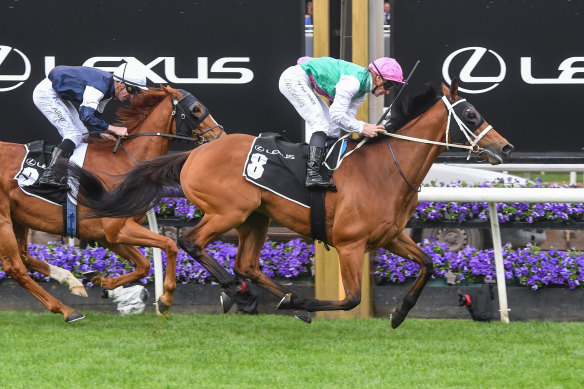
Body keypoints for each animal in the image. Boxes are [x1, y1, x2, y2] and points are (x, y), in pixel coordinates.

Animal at [0, 85, 224, 322]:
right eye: (196, 109)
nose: (221, 136)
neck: (123, 163)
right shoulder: (116, 229)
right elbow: (169, 245)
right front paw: (165, 300)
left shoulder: (108, 235)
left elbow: (144, 265)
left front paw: (102, 281)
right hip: (3, 219)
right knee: (14, 267)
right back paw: (67, 310)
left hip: (19, 218)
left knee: (24, 256)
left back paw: (72, 281)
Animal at [70, 82, 512, 328]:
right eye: (472, 114)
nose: (505, 147)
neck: (387, 168)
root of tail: (197, 151)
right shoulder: (350, 244)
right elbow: (351, 298)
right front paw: (302, 303)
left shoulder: (389, 237)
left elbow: (428, 263)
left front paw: (400, 313)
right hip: (228, 212)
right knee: (192, 242)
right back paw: (238, 294)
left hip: (256, 218)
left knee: (246, 264)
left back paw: (257, 294)